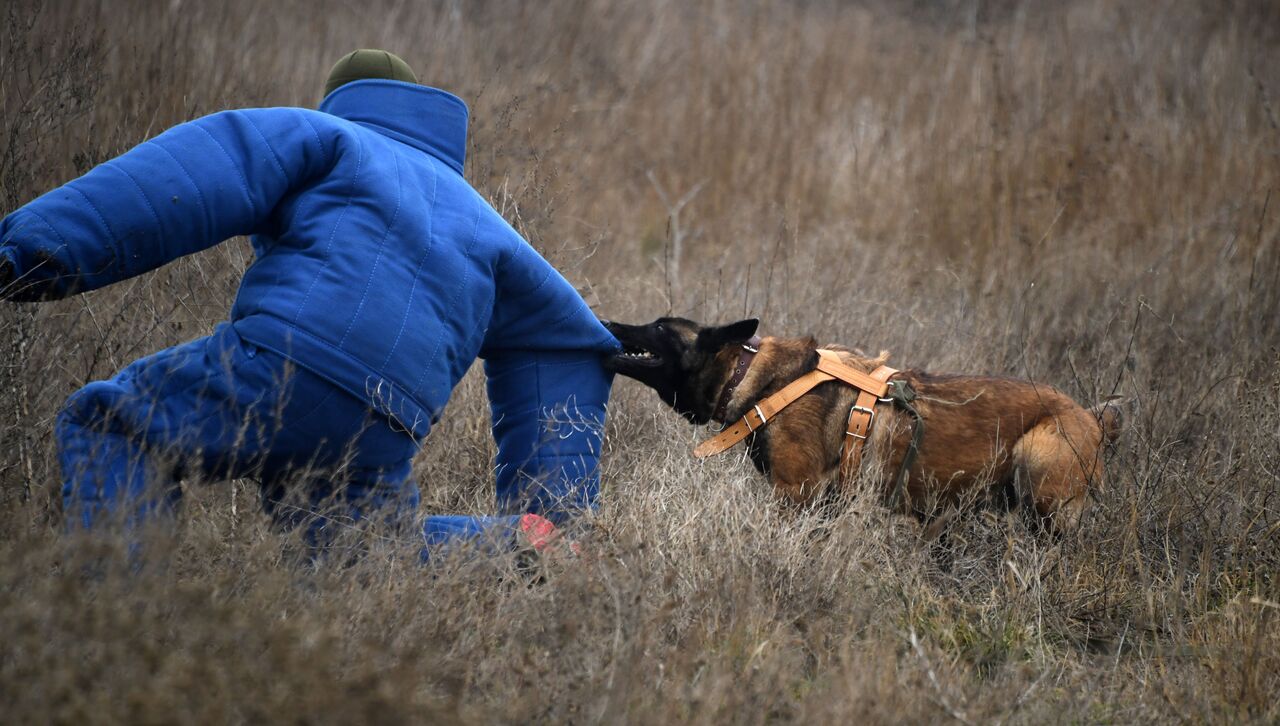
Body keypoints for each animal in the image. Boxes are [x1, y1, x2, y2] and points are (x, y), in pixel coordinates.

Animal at [601, 317, 1121, 535]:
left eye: (660, 328)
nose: (608, 321)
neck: (757, 378)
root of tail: (1094, 419)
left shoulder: (795, 495)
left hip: (1040, 479)